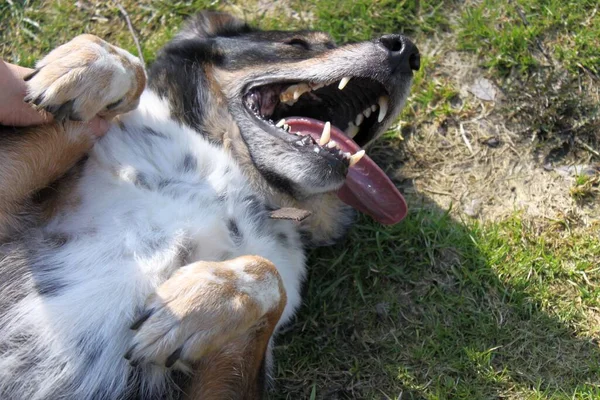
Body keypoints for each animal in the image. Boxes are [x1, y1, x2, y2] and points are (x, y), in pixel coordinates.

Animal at [0, 10, 420, 398]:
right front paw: (88, 65)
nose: (407, 51)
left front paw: (193, 308)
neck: (234, 178)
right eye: (297, 43)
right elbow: (131, 75)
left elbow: (270, 274)